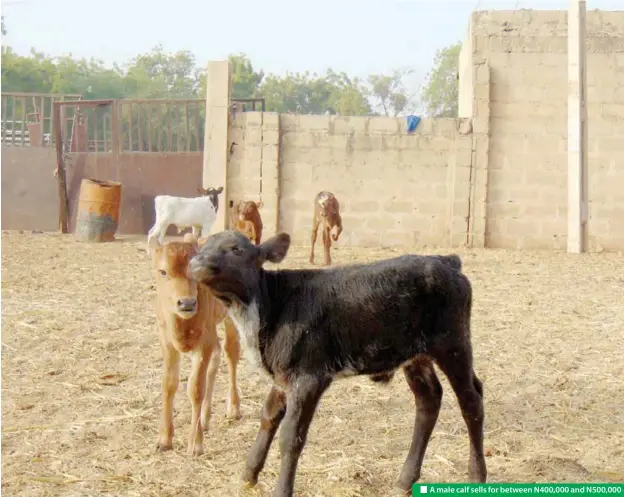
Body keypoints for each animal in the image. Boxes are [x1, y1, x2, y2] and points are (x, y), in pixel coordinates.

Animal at [149, 234, 241, 456]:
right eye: (163, 271)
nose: (187, 303)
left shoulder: (203, 343)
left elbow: (196, 388)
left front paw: (195, 444)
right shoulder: (167, 342)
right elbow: (169, 384)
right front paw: (164, 440)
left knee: (231, 353)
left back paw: (233, 408)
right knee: (216, 357)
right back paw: (205, 418)